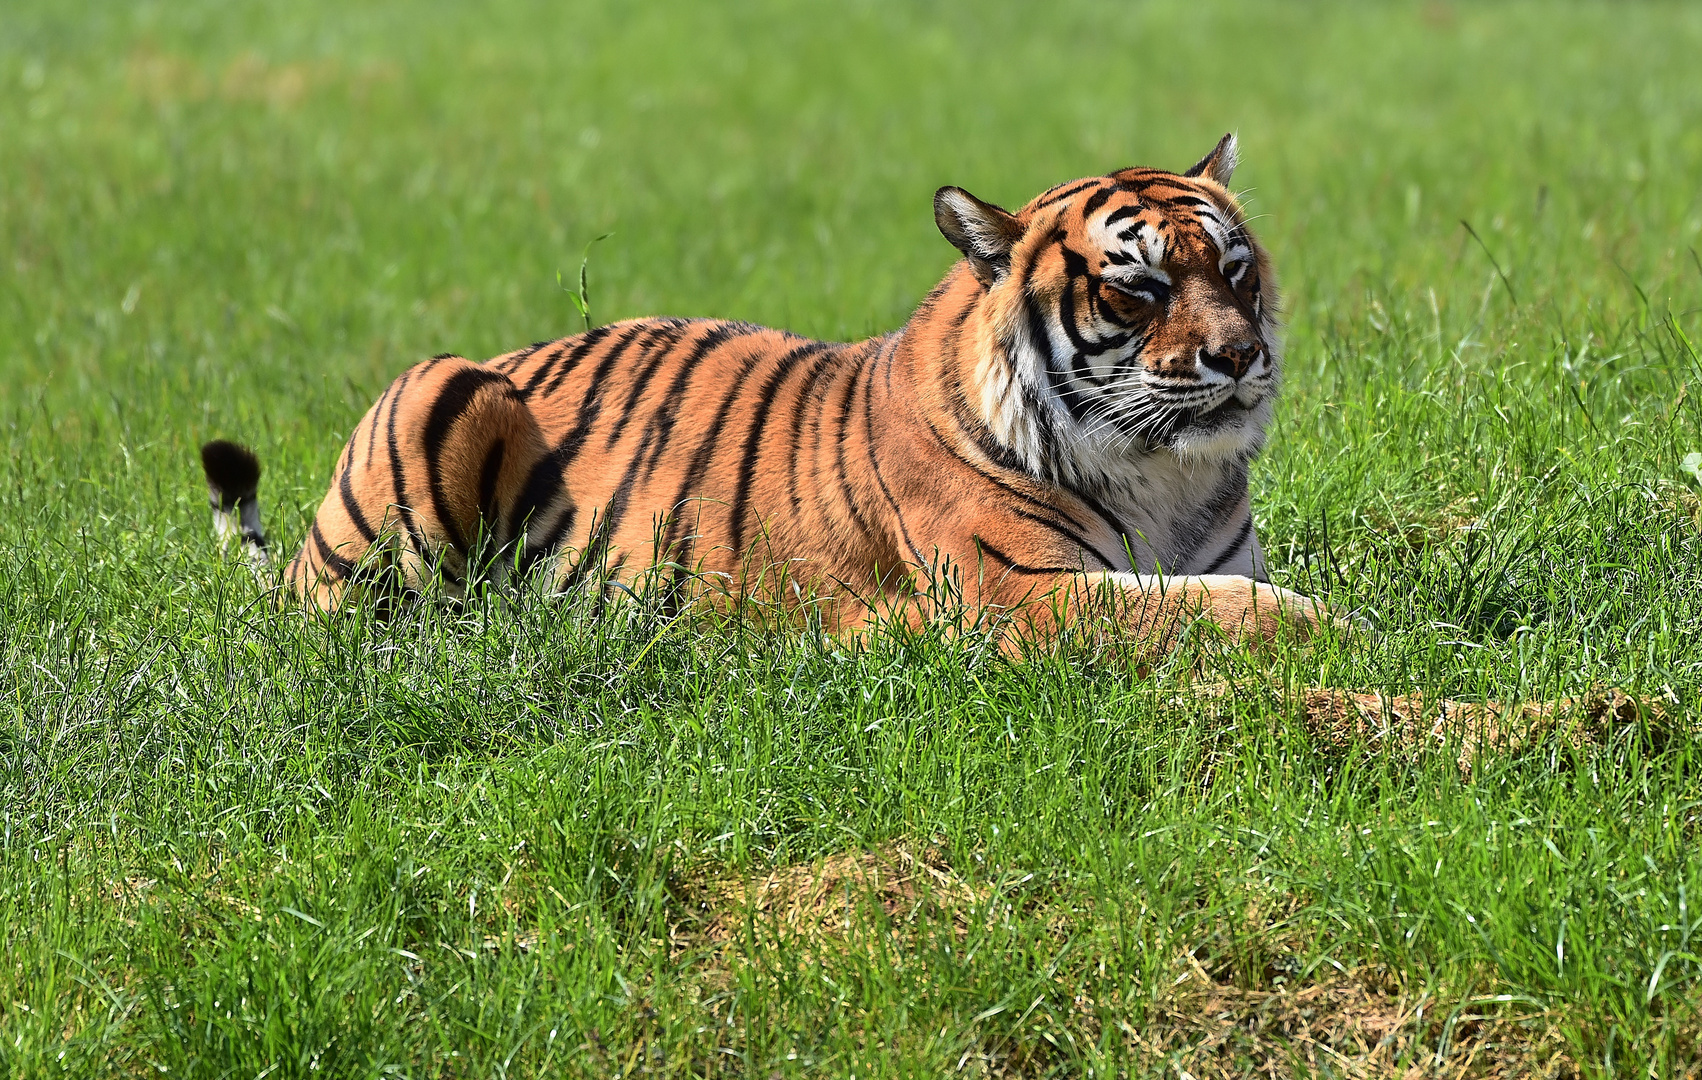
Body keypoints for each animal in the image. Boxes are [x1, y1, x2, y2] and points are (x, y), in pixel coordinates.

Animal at [205, 136, 1334, 649]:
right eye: (1139, 288)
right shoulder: (1019, 592)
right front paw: (1341, 627)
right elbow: (1220, 610)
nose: (1240, 356)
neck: (1161, 476)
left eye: (1235, 271)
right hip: (439, 390)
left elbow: (1220, 591)